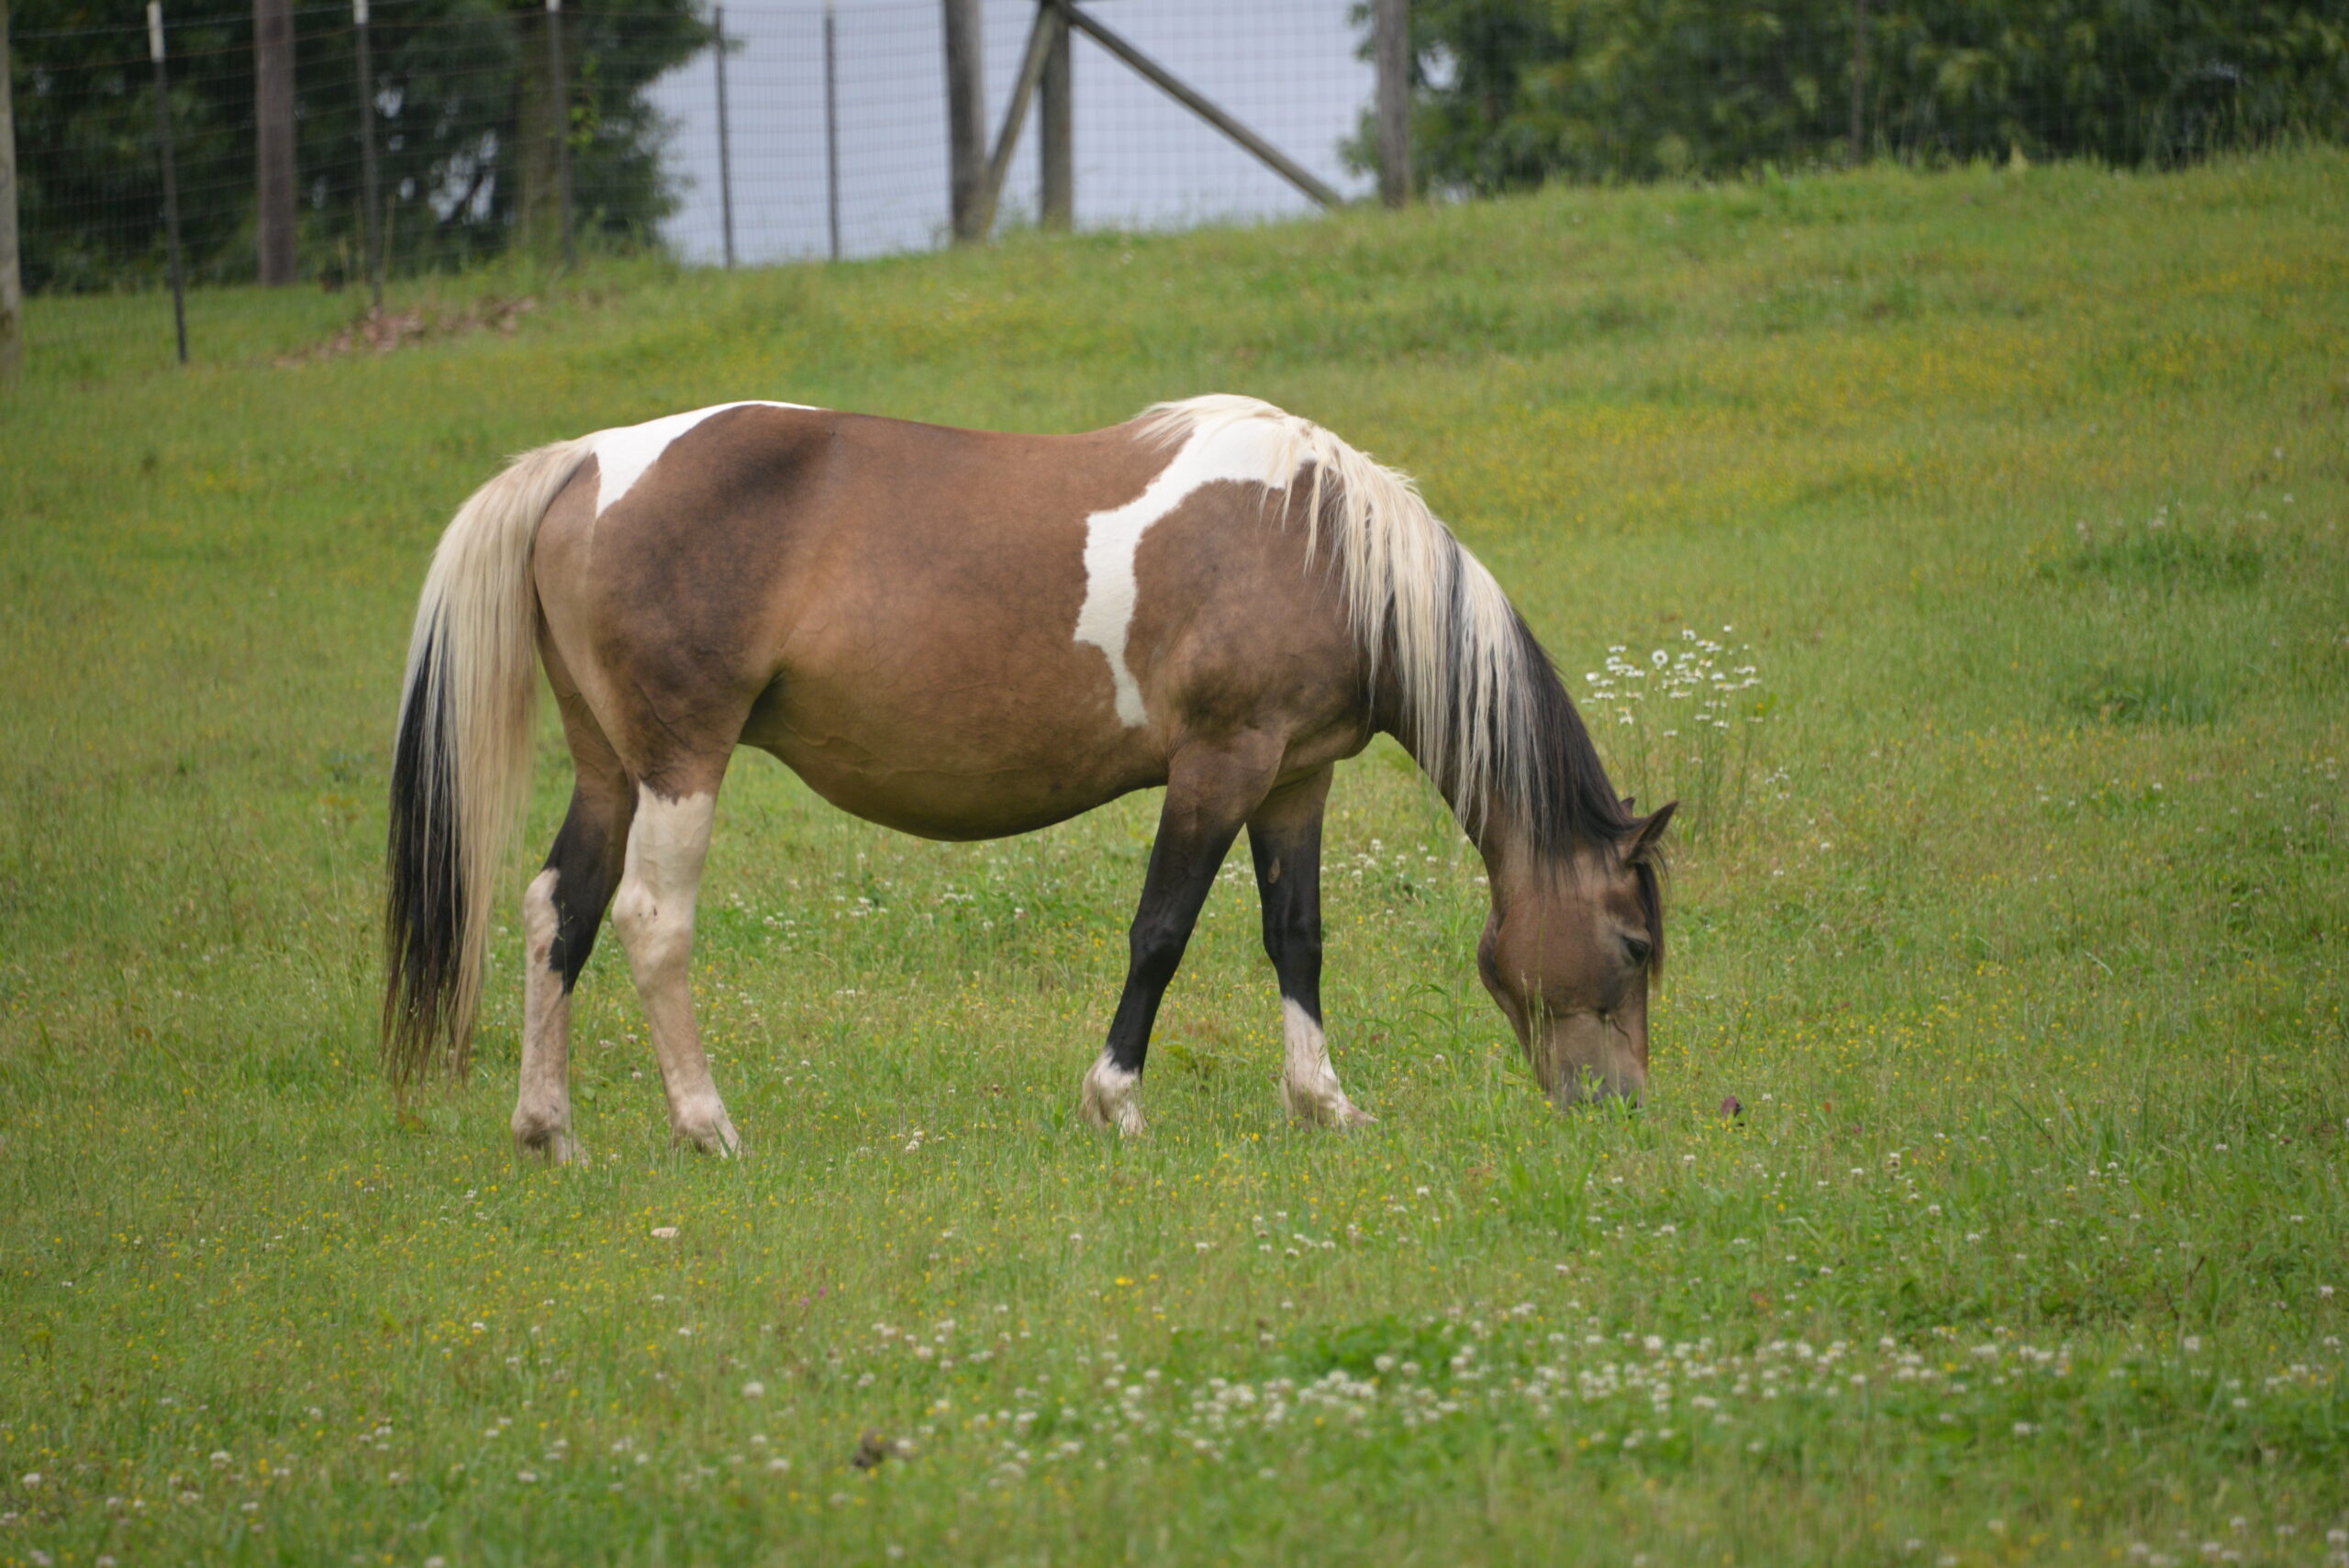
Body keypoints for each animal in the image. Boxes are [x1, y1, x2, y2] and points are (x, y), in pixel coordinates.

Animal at [382, 395, 1672, 1159]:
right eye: (1636, 943)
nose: (1617, 1105)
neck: (1319, 546)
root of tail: (585, 462)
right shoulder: (1219, 766)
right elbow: (1161, 931)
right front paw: (1117, 1099)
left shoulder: (1292, 780)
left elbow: (1295, 937)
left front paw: (1322, 1102)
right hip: (681, 763)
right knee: (652, 919)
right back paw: (708, 1125)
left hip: (612, 770)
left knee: (559, 910)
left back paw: (548, 1128)